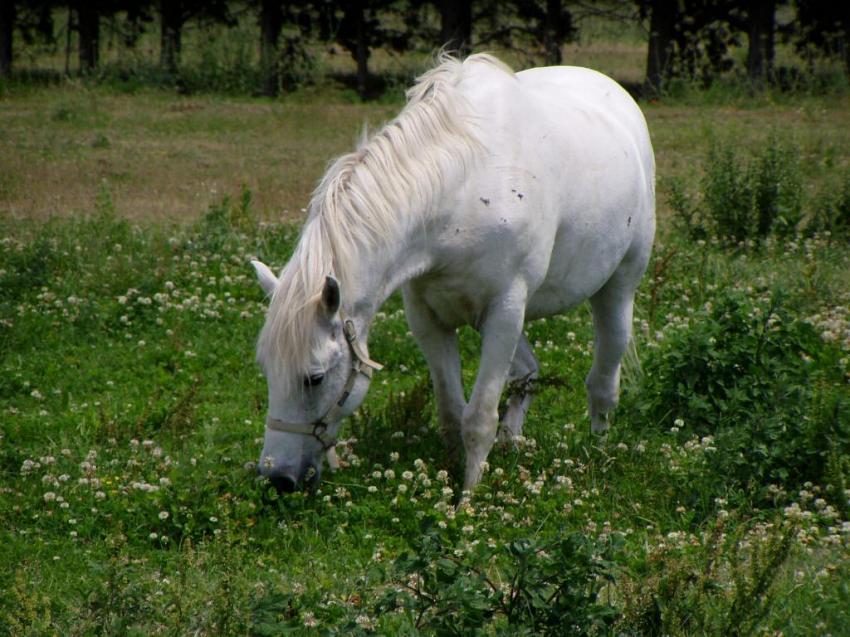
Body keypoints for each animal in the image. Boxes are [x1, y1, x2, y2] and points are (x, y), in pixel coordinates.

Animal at [250, 53, 655, 495]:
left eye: (315, 378)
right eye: (267, 370)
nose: (278, 477)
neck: (460, 192)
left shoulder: (504, 312)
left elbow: (478, 419)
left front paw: (466, 499)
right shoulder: (430, 318)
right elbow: (450, 411)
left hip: (617, 289)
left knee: (603, 381)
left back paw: (597, 451)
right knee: (527, 373)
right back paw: (512, 442)